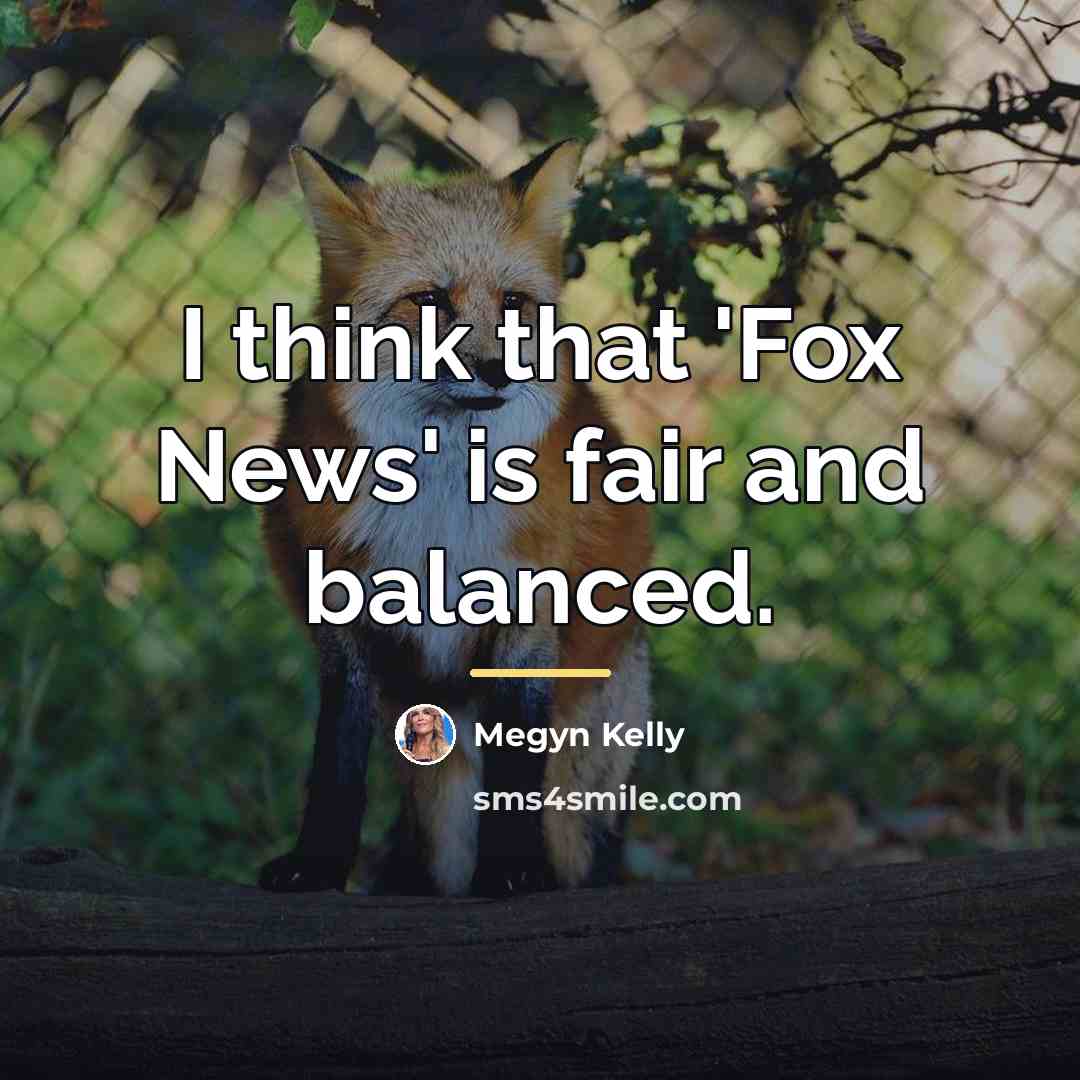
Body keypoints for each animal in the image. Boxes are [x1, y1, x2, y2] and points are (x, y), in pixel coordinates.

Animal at [258, 141, 653, 897]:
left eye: (514, 304)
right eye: (429, 301)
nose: (497, 370)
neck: (440, 507)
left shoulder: (528, 614)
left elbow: (516, 768)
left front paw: (515, 872)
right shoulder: (342, 614)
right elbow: (336, 763)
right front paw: (317, 865)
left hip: (575, 797)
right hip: (437, 797)